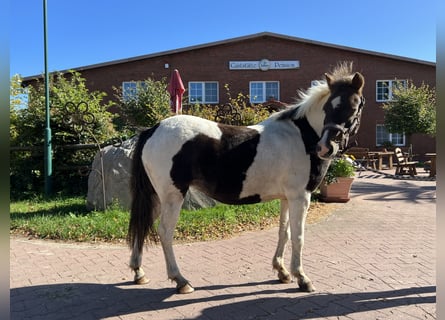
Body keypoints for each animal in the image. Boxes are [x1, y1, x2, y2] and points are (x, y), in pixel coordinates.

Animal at [127, 62, 364, 292]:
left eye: (353, 106)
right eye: (328, 107)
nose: (326, 147)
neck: (301, 136)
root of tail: (152, 130)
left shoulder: (287, 198)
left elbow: (284, 232)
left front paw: (282, 271)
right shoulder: (301, 197)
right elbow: (298, 236)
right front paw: (302, 278)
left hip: (156, 196)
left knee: (143, 223)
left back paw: (139, 272)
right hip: (172, 196)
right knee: (165, 232)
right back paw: (180, 280)